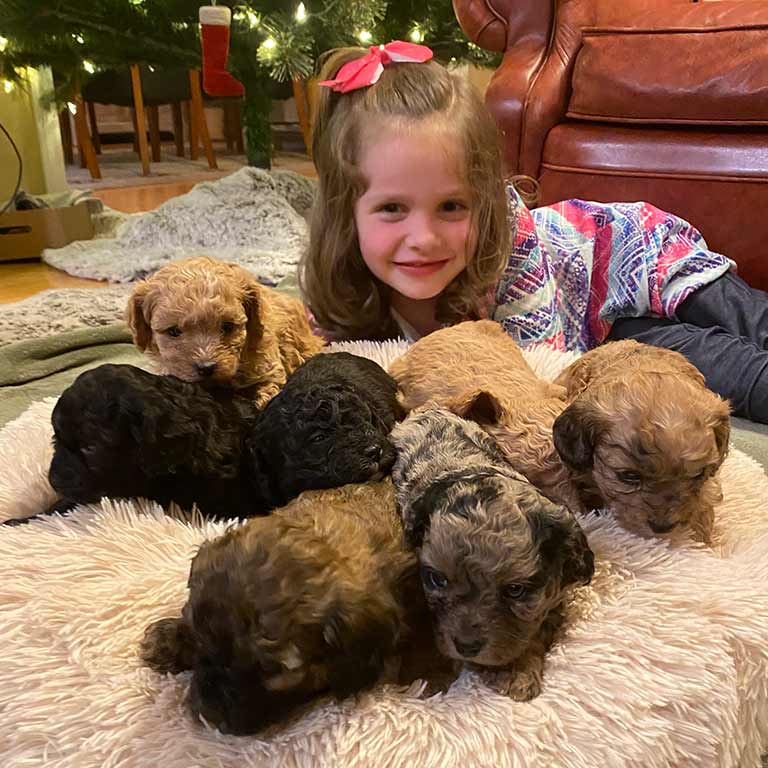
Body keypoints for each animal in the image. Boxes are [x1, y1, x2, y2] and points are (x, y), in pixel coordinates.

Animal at [390, 408, 592, 704]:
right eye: (437, 579)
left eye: (516, 590)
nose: (466, 646)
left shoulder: (552, 602)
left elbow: (533, 635)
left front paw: (519, 674)